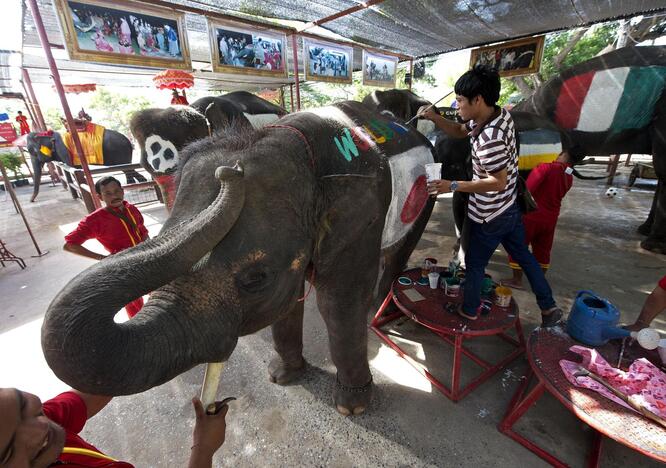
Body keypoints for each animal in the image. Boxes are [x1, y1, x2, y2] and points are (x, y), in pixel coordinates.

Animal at [42, 100, 436, 414]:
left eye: (254, 279)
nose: (228, 172)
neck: (297, 146)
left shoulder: (362, 216)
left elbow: (338, 302)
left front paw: (351, 408)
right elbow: (290, 301)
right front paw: (282, 377)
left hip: (431, 189)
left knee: (399, 250)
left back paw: (382, 309)